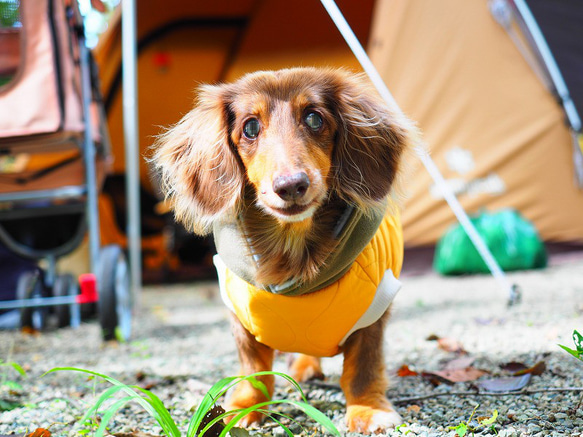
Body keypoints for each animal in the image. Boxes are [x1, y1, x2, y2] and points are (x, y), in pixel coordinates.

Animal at [151, 68, 416, 432]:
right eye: (250, 127)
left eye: (314, 118)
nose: (291, 185)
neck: (292, 247)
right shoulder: (240, 314)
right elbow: (252, 370)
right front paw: (244, 408)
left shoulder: (374, 309)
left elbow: (363, 367)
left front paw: (368, 410)